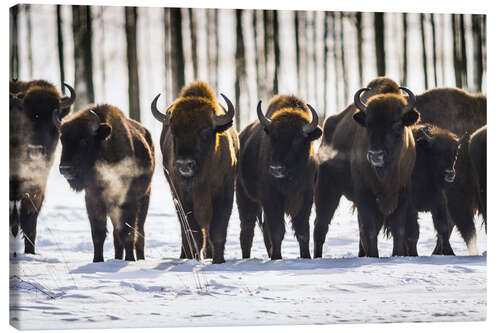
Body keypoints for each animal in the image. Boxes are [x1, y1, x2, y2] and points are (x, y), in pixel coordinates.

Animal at [9, 79, 75, 253]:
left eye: (56, 112)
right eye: (25, 113)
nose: (35, 150)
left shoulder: (36, 187)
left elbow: (29, 223)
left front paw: (30, 253)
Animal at [58, 105, 153, 260]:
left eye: (84, 141)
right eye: (62, 139)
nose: (65, 169)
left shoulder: (128, 201)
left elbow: (127, 232)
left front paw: (130, 259)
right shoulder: (93, 200)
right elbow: (98, 233)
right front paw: (97, 260)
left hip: (145, 197)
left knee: (139, 230)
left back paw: (140, 258)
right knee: (116, 234)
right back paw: (117, 257)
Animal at [150, 80, 238, 262]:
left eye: (205, 131)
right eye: (174, 132)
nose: (184, 164)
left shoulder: (224, 193)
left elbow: (218, 228)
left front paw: (218, 260)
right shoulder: (182, 196)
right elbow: (193, 230)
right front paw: (195, 257)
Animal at [236, 94, 322, 260]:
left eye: (297, 139)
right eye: (273, 138)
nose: (276, 168)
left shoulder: (306, 198)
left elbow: (303, 231)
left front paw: (306, 257)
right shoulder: (272, 199)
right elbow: (277, 231)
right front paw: (277, 257)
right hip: (245, 198)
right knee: (247, 230)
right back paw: (247, 257)